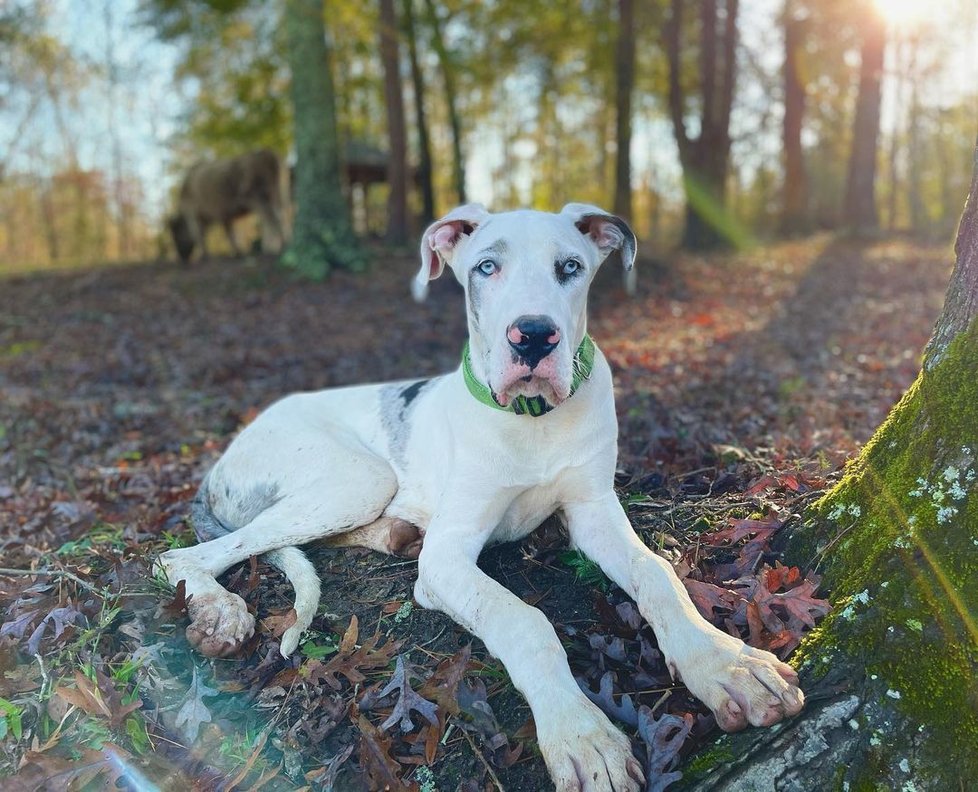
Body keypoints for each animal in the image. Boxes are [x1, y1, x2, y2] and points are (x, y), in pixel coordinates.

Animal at [158, 206, 800, 792]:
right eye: (486, 267)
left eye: (570, 267)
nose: (534, 335)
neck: (533, 419)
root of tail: (222, 458)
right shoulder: (445, 561)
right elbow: (525, 621)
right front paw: (580, 735)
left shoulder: (594, 513)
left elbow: (658, 574)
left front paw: (727, 665)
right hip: (358, 475)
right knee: (182, 556)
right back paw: (218, 611)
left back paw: (392, 534)